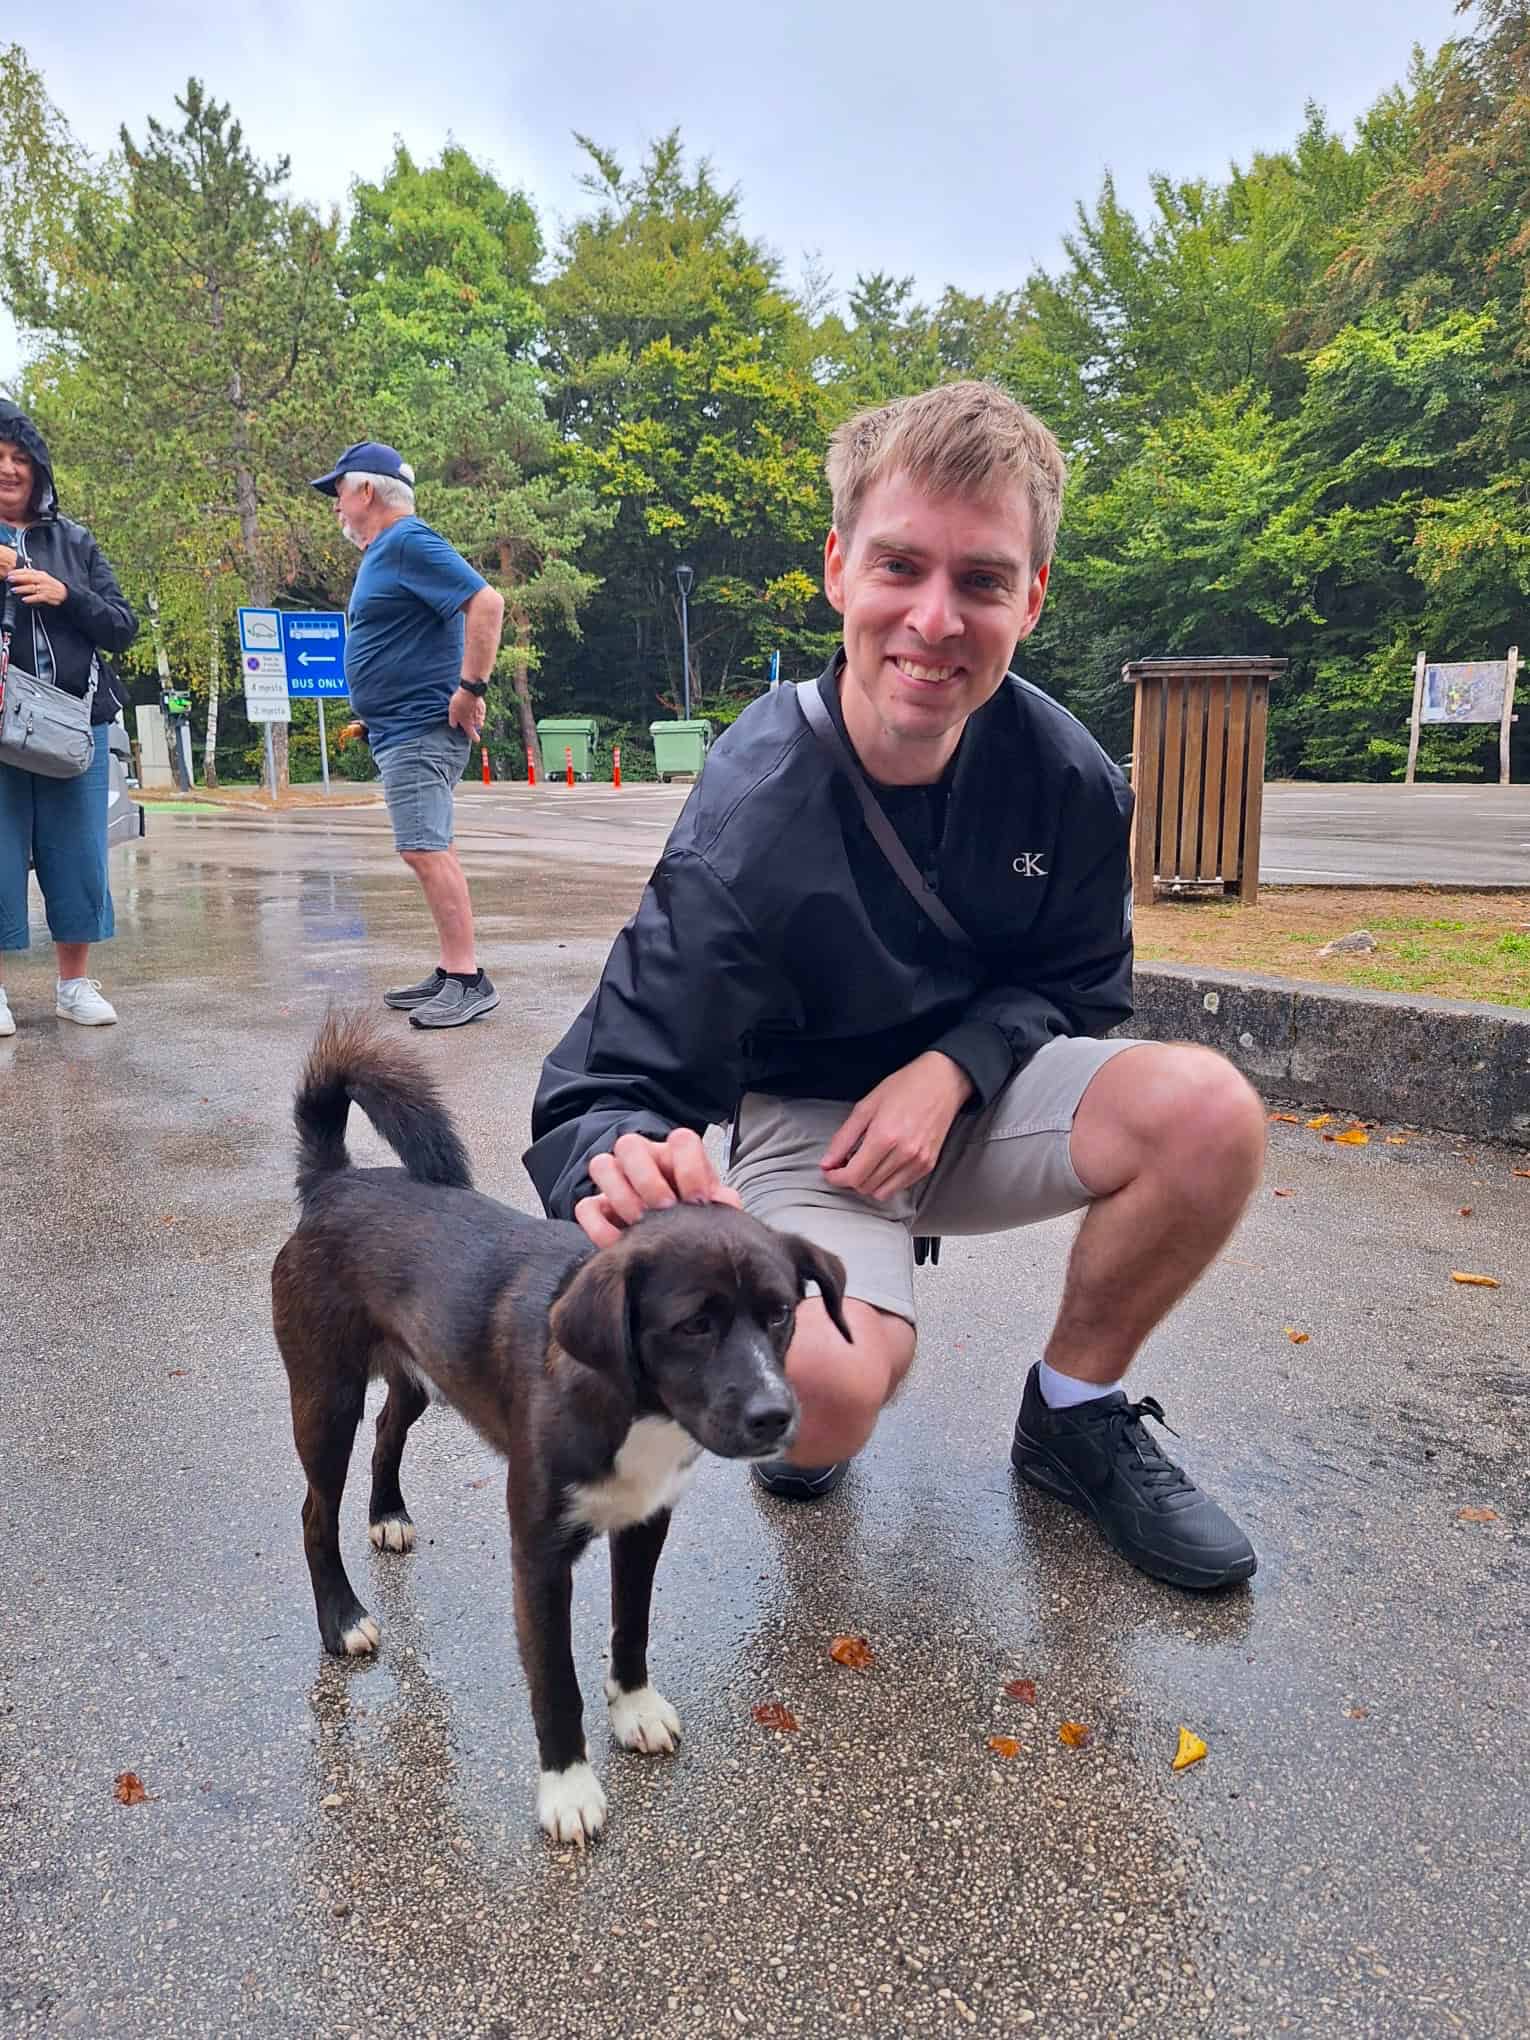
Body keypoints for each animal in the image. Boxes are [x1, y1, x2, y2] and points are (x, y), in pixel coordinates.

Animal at [271, 1014, 851, 1844]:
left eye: (780, 1313)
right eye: (693, 1325)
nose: (776, 1417)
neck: (633, 1406)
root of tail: (333, 1182)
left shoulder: (643, 1523)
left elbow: (631, 1624)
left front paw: (634, 1707)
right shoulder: (540, 1556)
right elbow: (555, 1680)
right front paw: (568, 1785)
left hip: (419, 1375)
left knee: (389, 1431)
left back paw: (388, 1515)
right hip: (326, 1397)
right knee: (315, 1511)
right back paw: (342, 1617)